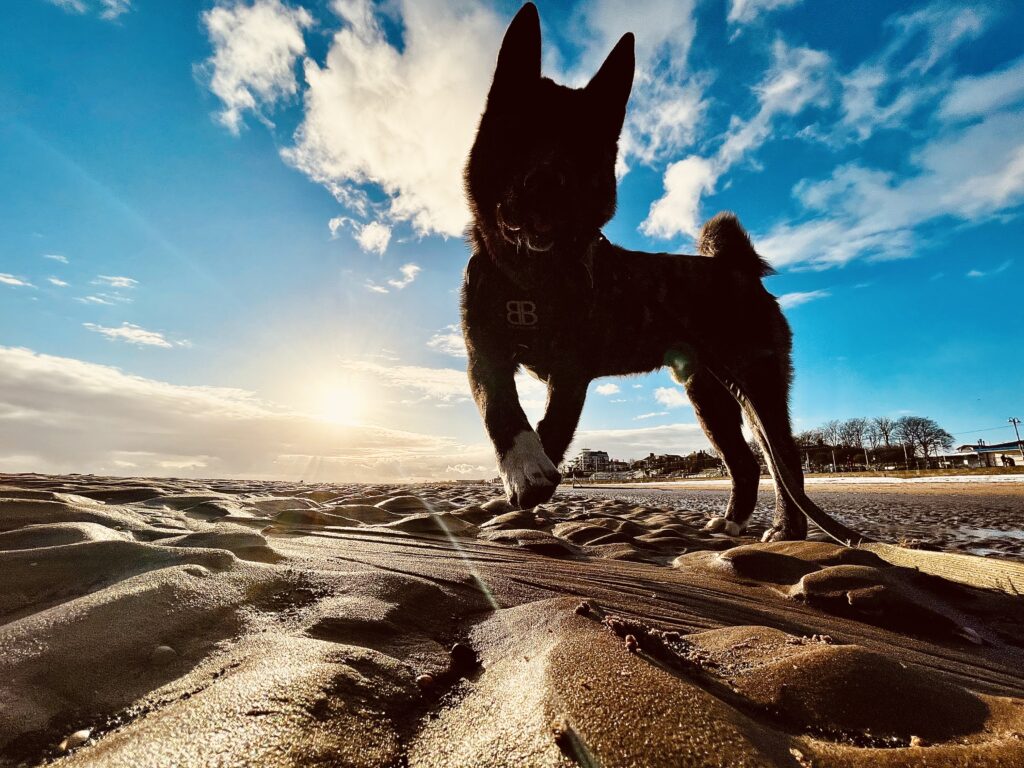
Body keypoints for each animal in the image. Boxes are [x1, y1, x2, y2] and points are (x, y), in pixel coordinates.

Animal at [462, 6, 864, 548]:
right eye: (519, 133)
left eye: (586, 152)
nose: (547, 184)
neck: (532, 277)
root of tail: (735, 265)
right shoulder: (483, 353)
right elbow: (499, 408)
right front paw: (523, 468)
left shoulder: (571, 369)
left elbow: (553, 426)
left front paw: (532, 478)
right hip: (709, 391)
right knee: (748, 462)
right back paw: (733, 522)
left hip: (757, 380)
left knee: (784, 460)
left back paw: (787, 528)